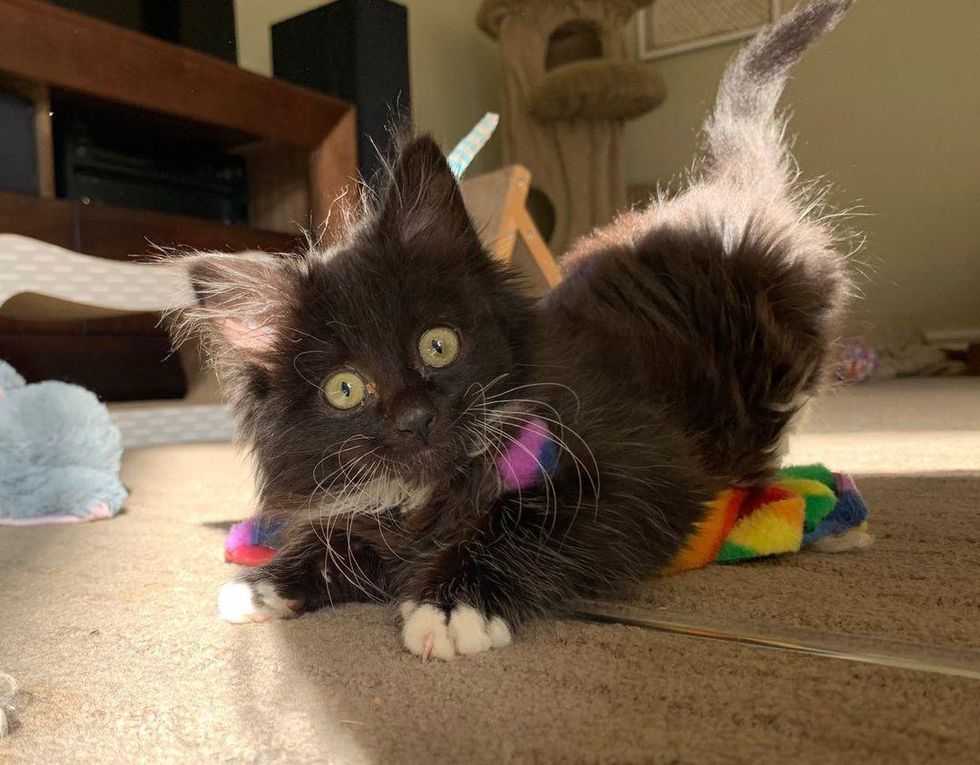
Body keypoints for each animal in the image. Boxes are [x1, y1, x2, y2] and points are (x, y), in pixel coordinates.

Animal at [172, 0, 852, 656]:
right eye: (345, 389)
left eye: (438, 345)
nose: (415, 417)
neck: (438, 488)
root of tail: (720, 193)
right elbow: (341, 532)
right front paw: (264, 583)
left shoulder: (645, 465)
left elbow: (528, 514)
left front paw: (452, 604)